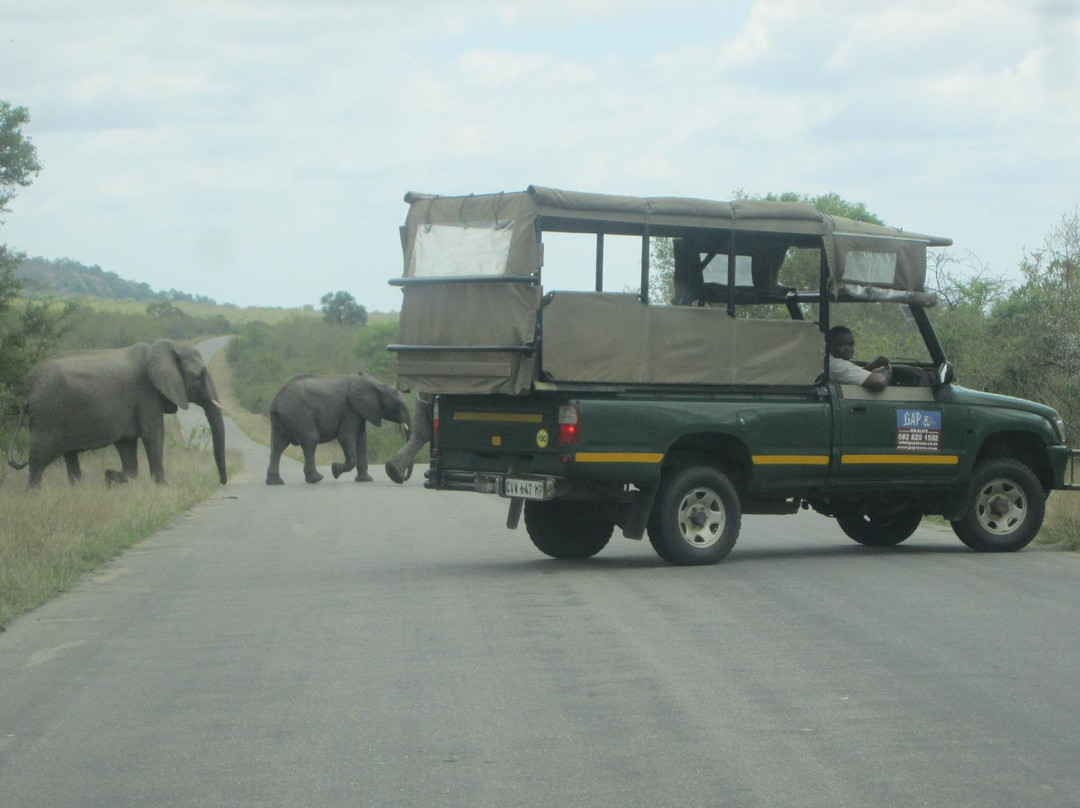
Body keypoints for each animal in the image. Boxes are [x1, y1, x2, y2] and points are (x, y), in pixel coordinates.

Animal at [8, 337, 228, 486]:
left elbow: (127, 447)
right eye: (201, 374)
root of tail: (27, 391)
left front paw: (109, 477)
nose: (221, 482)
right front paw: (163, 487)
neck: (169, 348)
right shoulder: (146, 393)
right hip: (48, 416)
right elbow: (153, 434)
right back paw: (33, 497)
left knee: (70, 457)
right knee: (38, 460)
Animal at [264, 373, 408, 486]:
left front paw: (365, 480)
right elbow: (345, 437)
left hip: (280, 418)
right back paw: (316, 479)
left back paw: (275, 482)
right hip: (299, 414)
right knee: (310, 440)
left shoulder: (360, 411)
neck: (377, 383)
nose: (400, 477)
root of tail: (277, 400)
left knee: (277, 445)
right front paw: (334, 470)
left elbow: (362, 439)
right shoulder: (350, 410)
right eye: (397, 405)